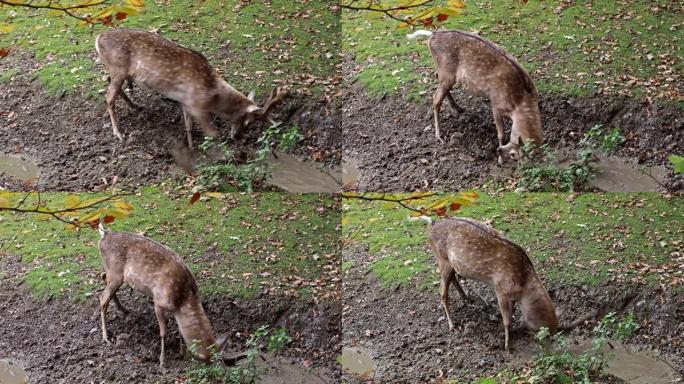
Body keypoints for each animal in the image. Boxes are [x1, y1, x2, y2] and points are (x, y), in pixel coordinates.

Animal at [94, 27, 286, 148]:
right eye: (248, 122)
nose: (238, 137)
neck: (213, 95)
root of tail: (97, 39)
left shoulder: (185, 101)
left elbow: (188, 126)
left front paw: (191, 147)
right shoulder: (195, 104)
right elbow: (212, 133)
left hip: (119, 72)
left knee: (109, 82)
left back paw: (135, 106)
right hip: (118, 68)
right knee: (108, 97)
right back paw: (118, 133)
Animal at [97, 222, 224, 368]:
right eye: (206, 360)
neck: (182, 300)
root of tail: (104, 234)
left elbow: (179, 329)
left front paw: (182, 352)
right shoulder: (158, 301)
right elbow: (163, 332)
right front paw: (162, 361)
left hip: (113, 274)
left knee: (103, 277)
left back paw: (122, 309)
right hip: (115, 272)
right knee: (102, 298)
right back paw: (106, 336)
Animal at [406, 28, 544, 164]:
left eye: (514, 154)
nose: (498, 151)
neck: (519, 101)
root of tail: (432, 35)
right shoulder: (495, 103)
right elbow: (501, 133)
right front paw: (500, 160)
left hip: (444, 73)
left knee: (436, 78)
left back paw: (457, 107)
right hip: (447, 71)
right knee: (436, 98)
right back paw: (439, 135)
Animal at [414, 216, 560, 352]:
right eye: (545, 334)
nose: (551, 350)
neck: (522, 286)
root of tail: (432, 223)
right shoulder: (500, 288)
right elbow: (507, 320)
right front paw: (508, 346)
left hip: (449, 264)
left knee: (453, 279)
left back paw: (467, 297)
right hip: (442, 259)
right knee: (442, 291)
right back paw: (452, 325)